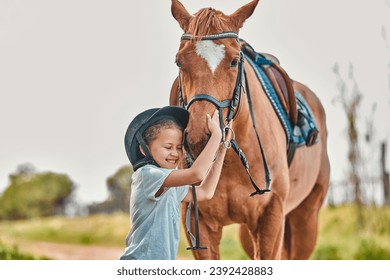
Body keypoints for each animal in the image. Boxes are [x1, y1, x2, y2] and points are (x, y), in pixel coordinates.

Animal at [169, 0, 330, 260]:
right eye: (179, 62)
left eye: (234, 61)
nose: (199, 140)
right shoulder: (197, 220)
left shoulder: (271, 217)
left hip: (305, 221)